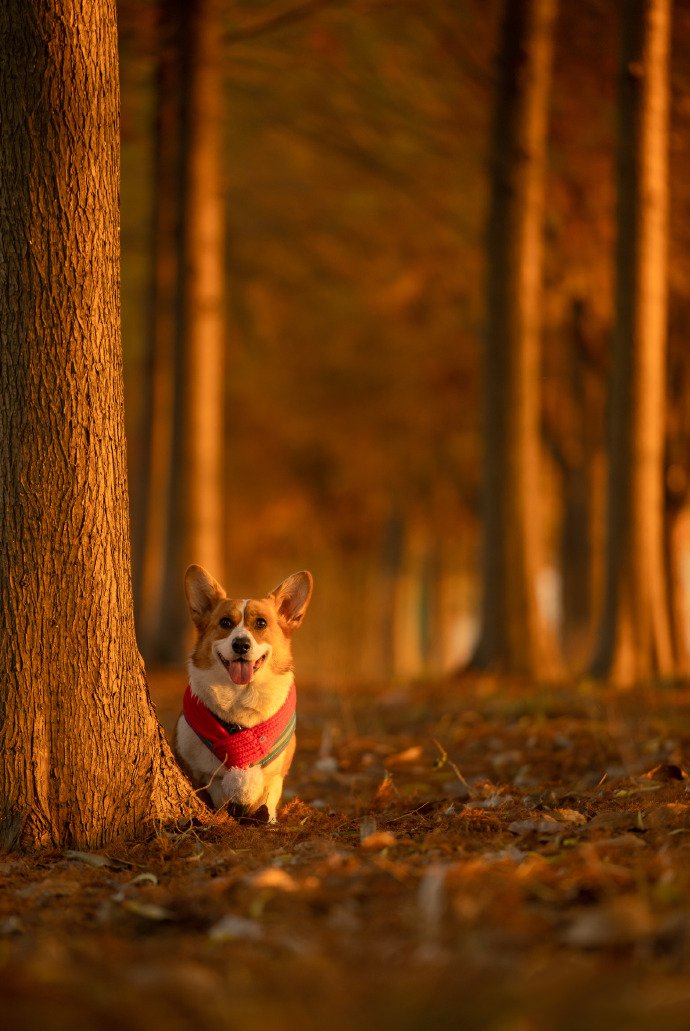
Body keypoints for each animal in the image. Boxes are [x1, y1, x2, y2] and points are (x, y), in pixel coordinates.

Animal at [173, 564, 313, 820]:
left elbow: (268, 800)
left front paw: (268, 820)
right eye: (225, 622)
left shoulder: (274, 778)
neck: (240, 695)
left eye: (261, 623)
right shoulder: (198, 773)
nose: (240, 644)